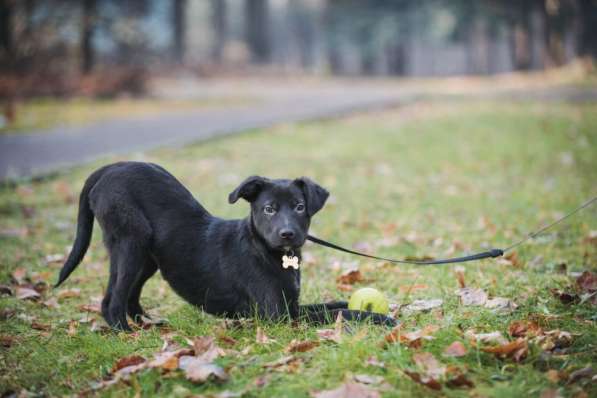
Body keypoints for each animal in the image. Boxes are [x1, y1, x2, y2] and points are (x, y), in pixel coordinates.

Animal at [53, 162, 394, 330]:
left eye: (299, 207)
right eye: (268, 209)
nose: (287, 234)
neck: (267, 252)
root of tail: (109, 169)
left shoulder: (291, 305)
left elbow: (332, 305)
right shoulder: (278, 316)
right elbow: (338, 314)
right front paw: (380, 319)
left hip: (147, 256)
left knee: (127, 295)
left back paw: (148, 326)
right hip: (131, 243)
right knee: (112, 299)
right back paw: (125, 333)